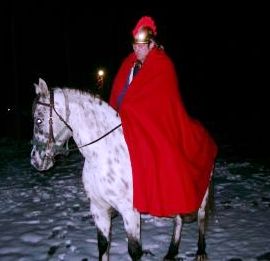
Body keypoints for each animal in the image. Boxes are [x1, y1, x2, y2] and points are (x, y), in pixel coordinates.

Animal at [30, 78, 214, 258]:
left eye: (38, 120)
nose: (35, 160)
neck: (103, 154)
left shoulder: (130, 213)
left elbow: (134, 250)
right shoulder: (98, 208)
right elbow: (103, 245)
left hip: (203, 191)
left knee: (201, 218)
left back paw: (201, 251)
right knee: (178, 219)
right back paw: (171, 252)